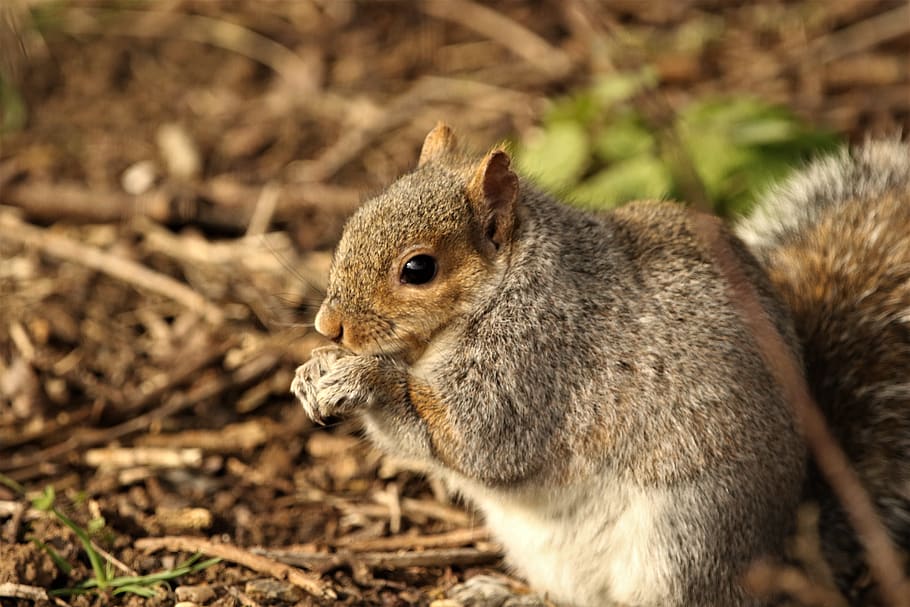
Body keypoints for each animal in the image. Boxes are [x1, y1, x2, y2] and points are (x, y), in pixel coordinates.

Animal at [291, 123, 910, 607]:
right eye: (351, 224)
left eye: (418, 269)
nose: (329, 326)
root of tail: (785, 550)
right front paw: (314, 371)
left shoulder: (539, 362)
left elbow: (472, 437)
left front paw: (360, 377)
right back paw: (503, 594)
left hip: (686, 534)